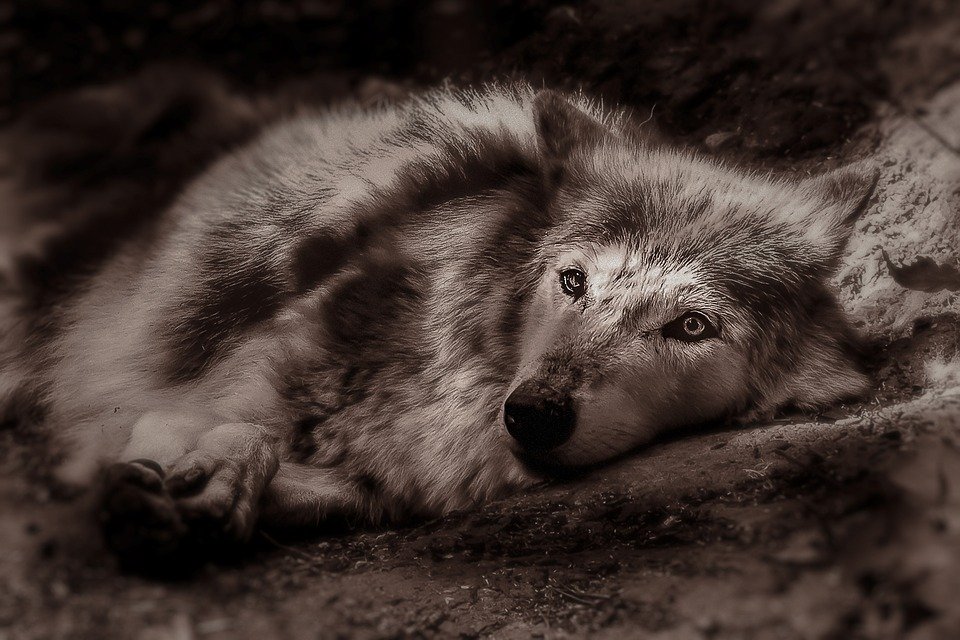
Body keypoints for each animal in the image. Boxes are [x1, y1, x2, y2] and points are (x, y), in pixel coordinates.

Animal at [0, 73, 876, 568]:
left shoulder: (389, 483)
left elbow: (324, 489)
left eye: (691, 327)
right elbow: (228, 427)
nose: (533, 412)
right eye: (573, 281)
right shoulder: (195, 377)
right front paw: (194, 478)